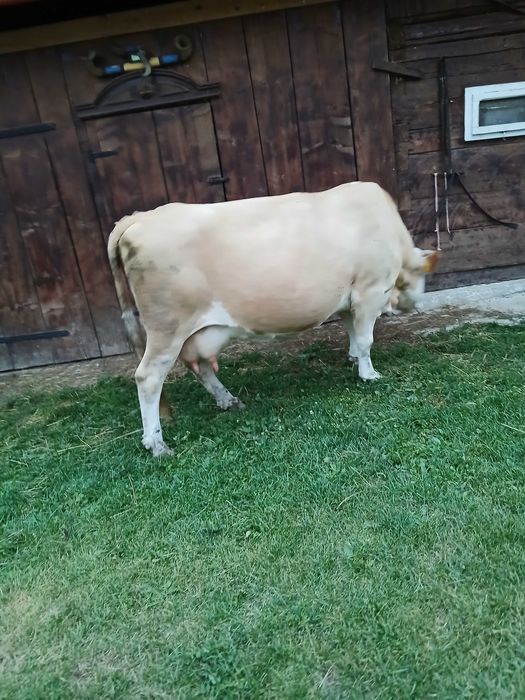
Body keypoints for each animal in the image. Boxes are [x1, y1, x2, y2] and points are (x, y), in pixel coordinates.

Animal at [107, 181, 439, 456]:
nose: (411, 306)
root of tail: (139, 218)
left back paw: (228, 401)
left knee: (199, 366)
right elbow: (366, 338)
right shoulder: (369, 291)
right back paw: (157, 444)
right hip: (167, 326)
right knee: (148, 377)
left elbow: (353, 333)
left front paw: (353, 357)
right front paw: (369, 374)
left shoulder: (349, 299)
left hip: (190, 331)